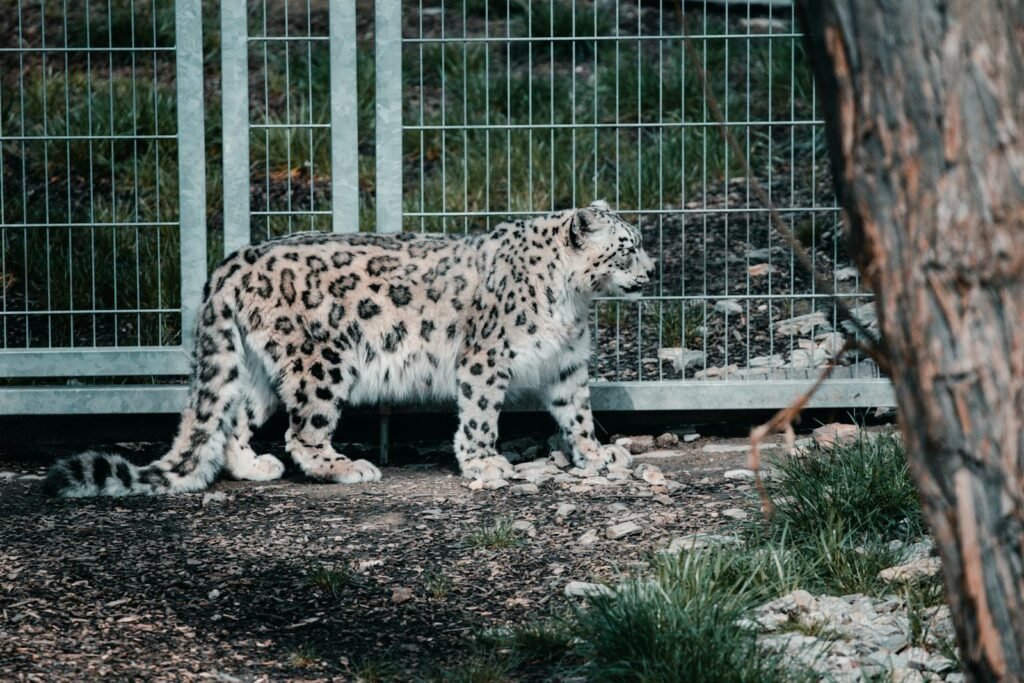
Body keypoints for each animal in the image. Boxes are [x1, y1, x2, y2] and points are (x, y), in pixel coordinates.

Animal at [44, 200, 655, 497]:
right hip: (322, 361)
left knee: (235, 417)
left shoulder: (569, 364)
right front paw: (485, 463)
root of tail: (234, 260)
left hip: (260, 369)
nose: (651, 271)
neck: (572, 302)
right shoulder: (485, 358)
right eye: (626, 248)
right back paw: (345, 467)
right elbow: (481, 414)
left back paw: (254, 466)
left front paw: (597, 454)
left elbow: (578, 413)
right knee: (303, 430)